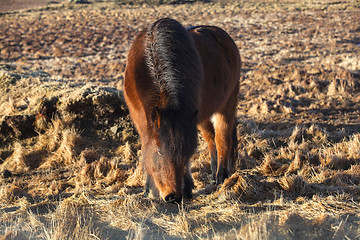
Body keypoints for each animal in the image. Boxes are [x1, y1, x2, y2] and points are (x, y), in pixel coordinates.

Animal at [124, 18, 242, 202]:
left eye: (186, 152)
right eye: (159, 150)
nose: (173, 196)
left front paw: (187, 189)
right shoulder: (143, 121)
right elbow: (146, 148)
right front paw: (148, 189)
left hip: (226, 106)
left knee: (222, 140)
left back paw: (221, 178)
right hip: (202, 117)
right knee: (211, 139)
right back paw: (213, 175)